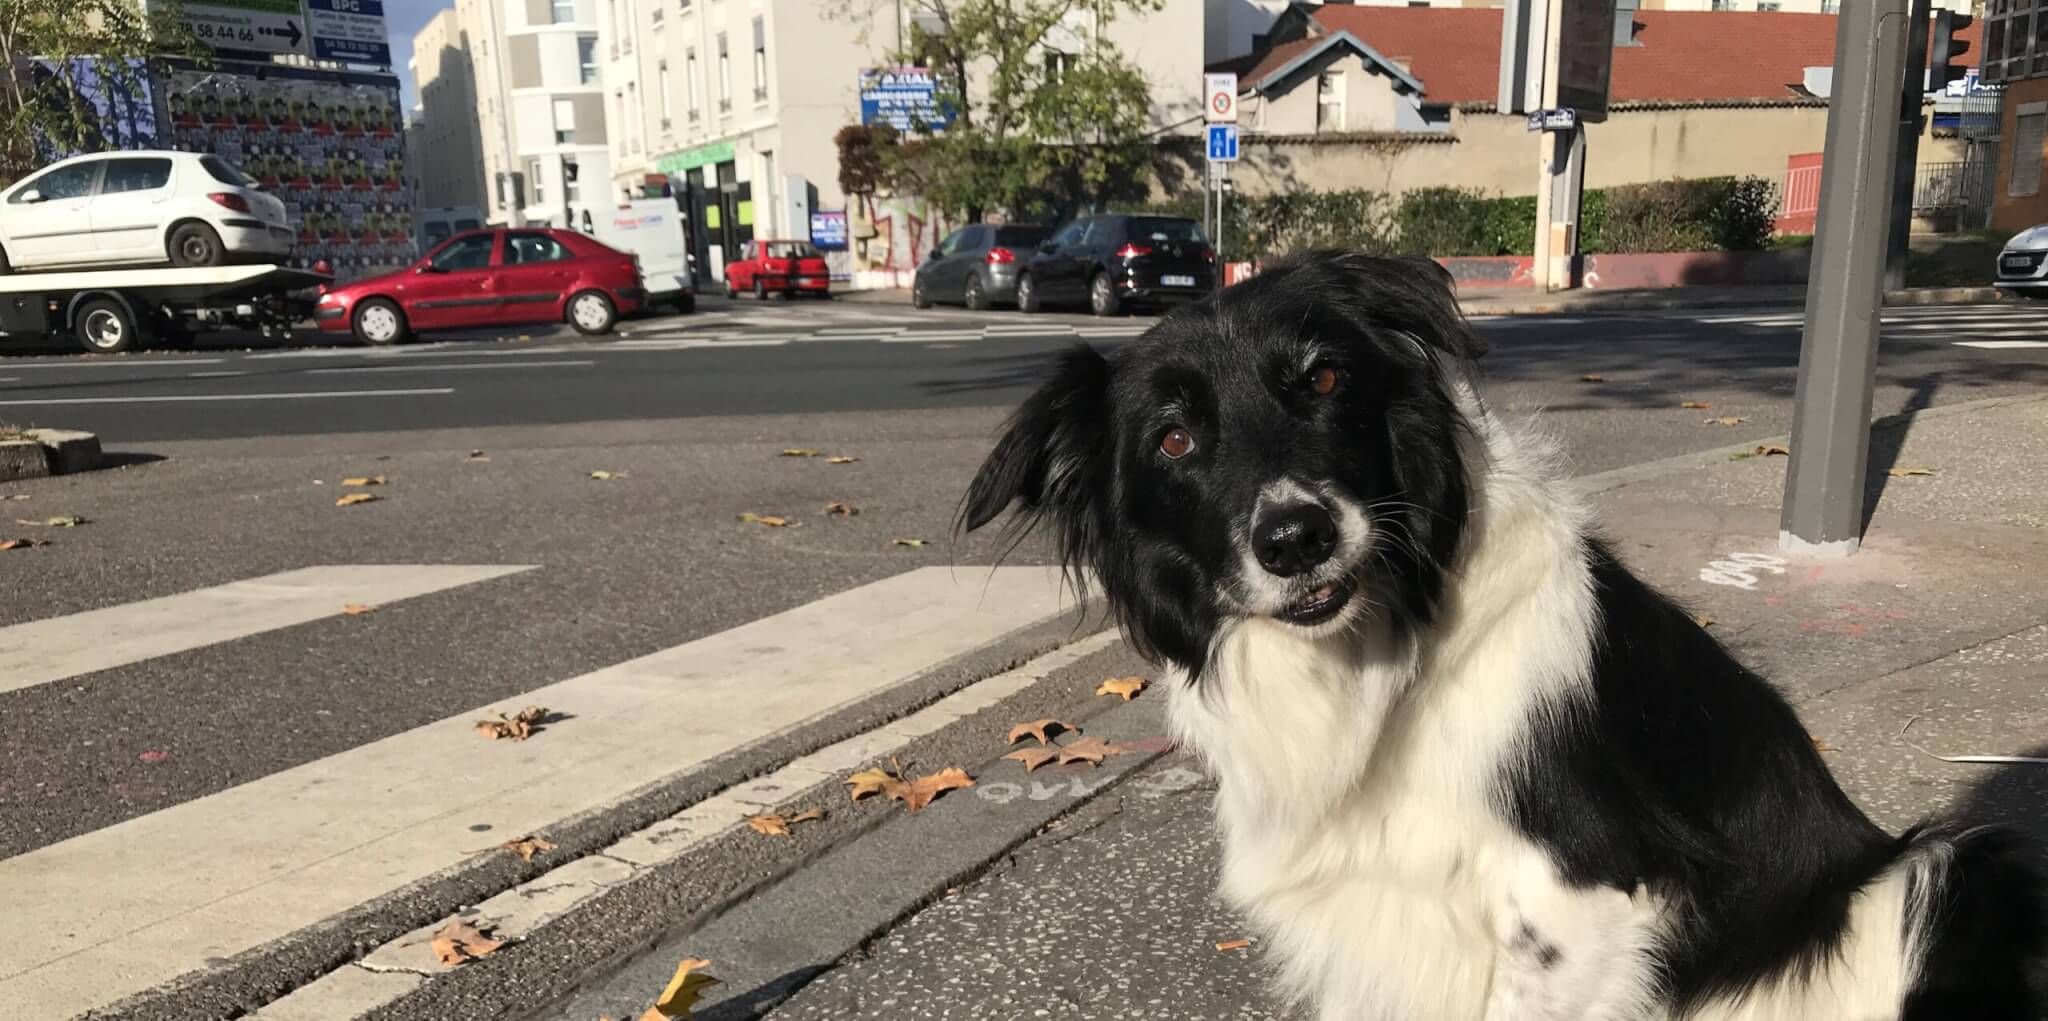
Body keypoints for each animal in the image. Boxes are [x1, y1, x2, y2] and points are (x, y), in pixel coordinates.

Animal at [958, 249, 2048, 1021]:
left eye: (1323, 380)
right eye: (1174, 439)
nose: (1297, 537)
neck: (1379, 662)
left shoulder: (1581, 907)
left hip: (1945, 880)